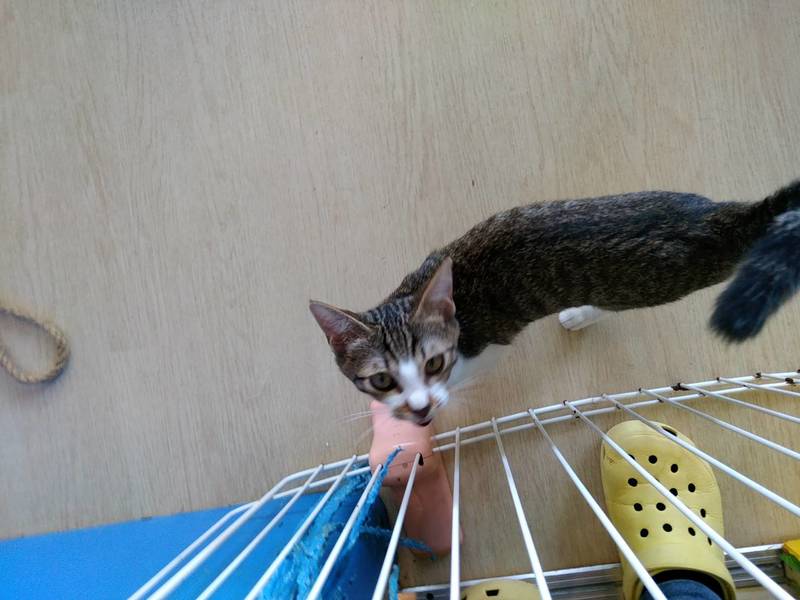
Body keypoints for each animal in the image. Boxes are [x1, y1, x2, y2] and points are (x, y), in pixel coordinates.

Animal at [310, 179, 800, 425]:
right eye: (380, 379)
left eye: (434, 363)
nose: (419, 408)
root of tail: (721, 220)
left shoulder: (484, 348)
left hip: (648, 285)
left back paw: (580, 314)